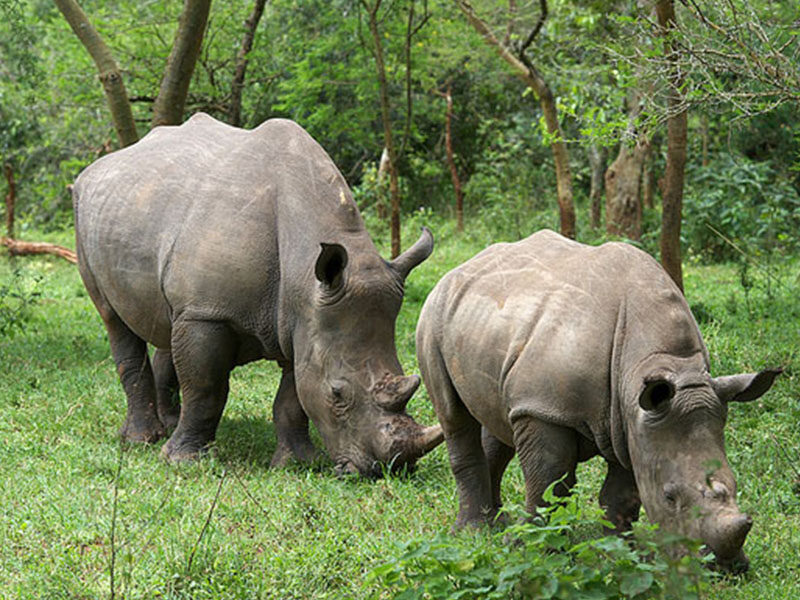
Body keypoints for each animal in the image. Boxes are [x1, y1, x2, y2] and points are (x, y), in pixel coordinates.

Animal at [72, 112, 443, 476]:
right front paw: (184, 463)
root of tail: (97, 167)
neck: (303, 267)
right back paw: (142, 441)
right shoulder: (210, 312)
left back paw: (169, 426)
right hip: (85, 214)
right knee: (114, 319)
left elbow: (293, 397)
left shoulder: (304, 319)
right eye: (337, 393)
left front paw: (298, 463)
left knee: (169, 324)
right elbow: (206, 388)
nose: (387, 470)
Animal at [416, 229, 780, 572]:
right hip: (433, 316)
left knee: (498, 418)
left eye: (736, 485)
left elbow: (622, 494)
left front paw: (622, 552)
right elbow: (548, 479)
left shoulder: (634, 418)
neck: (664, 361)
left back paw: (498, 523)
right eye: (669, 496)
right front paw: (535, 550)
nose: (724, 567)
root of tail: (460, 267)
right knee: (454, 416)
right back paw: (473, 532)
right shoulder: (547, 408)